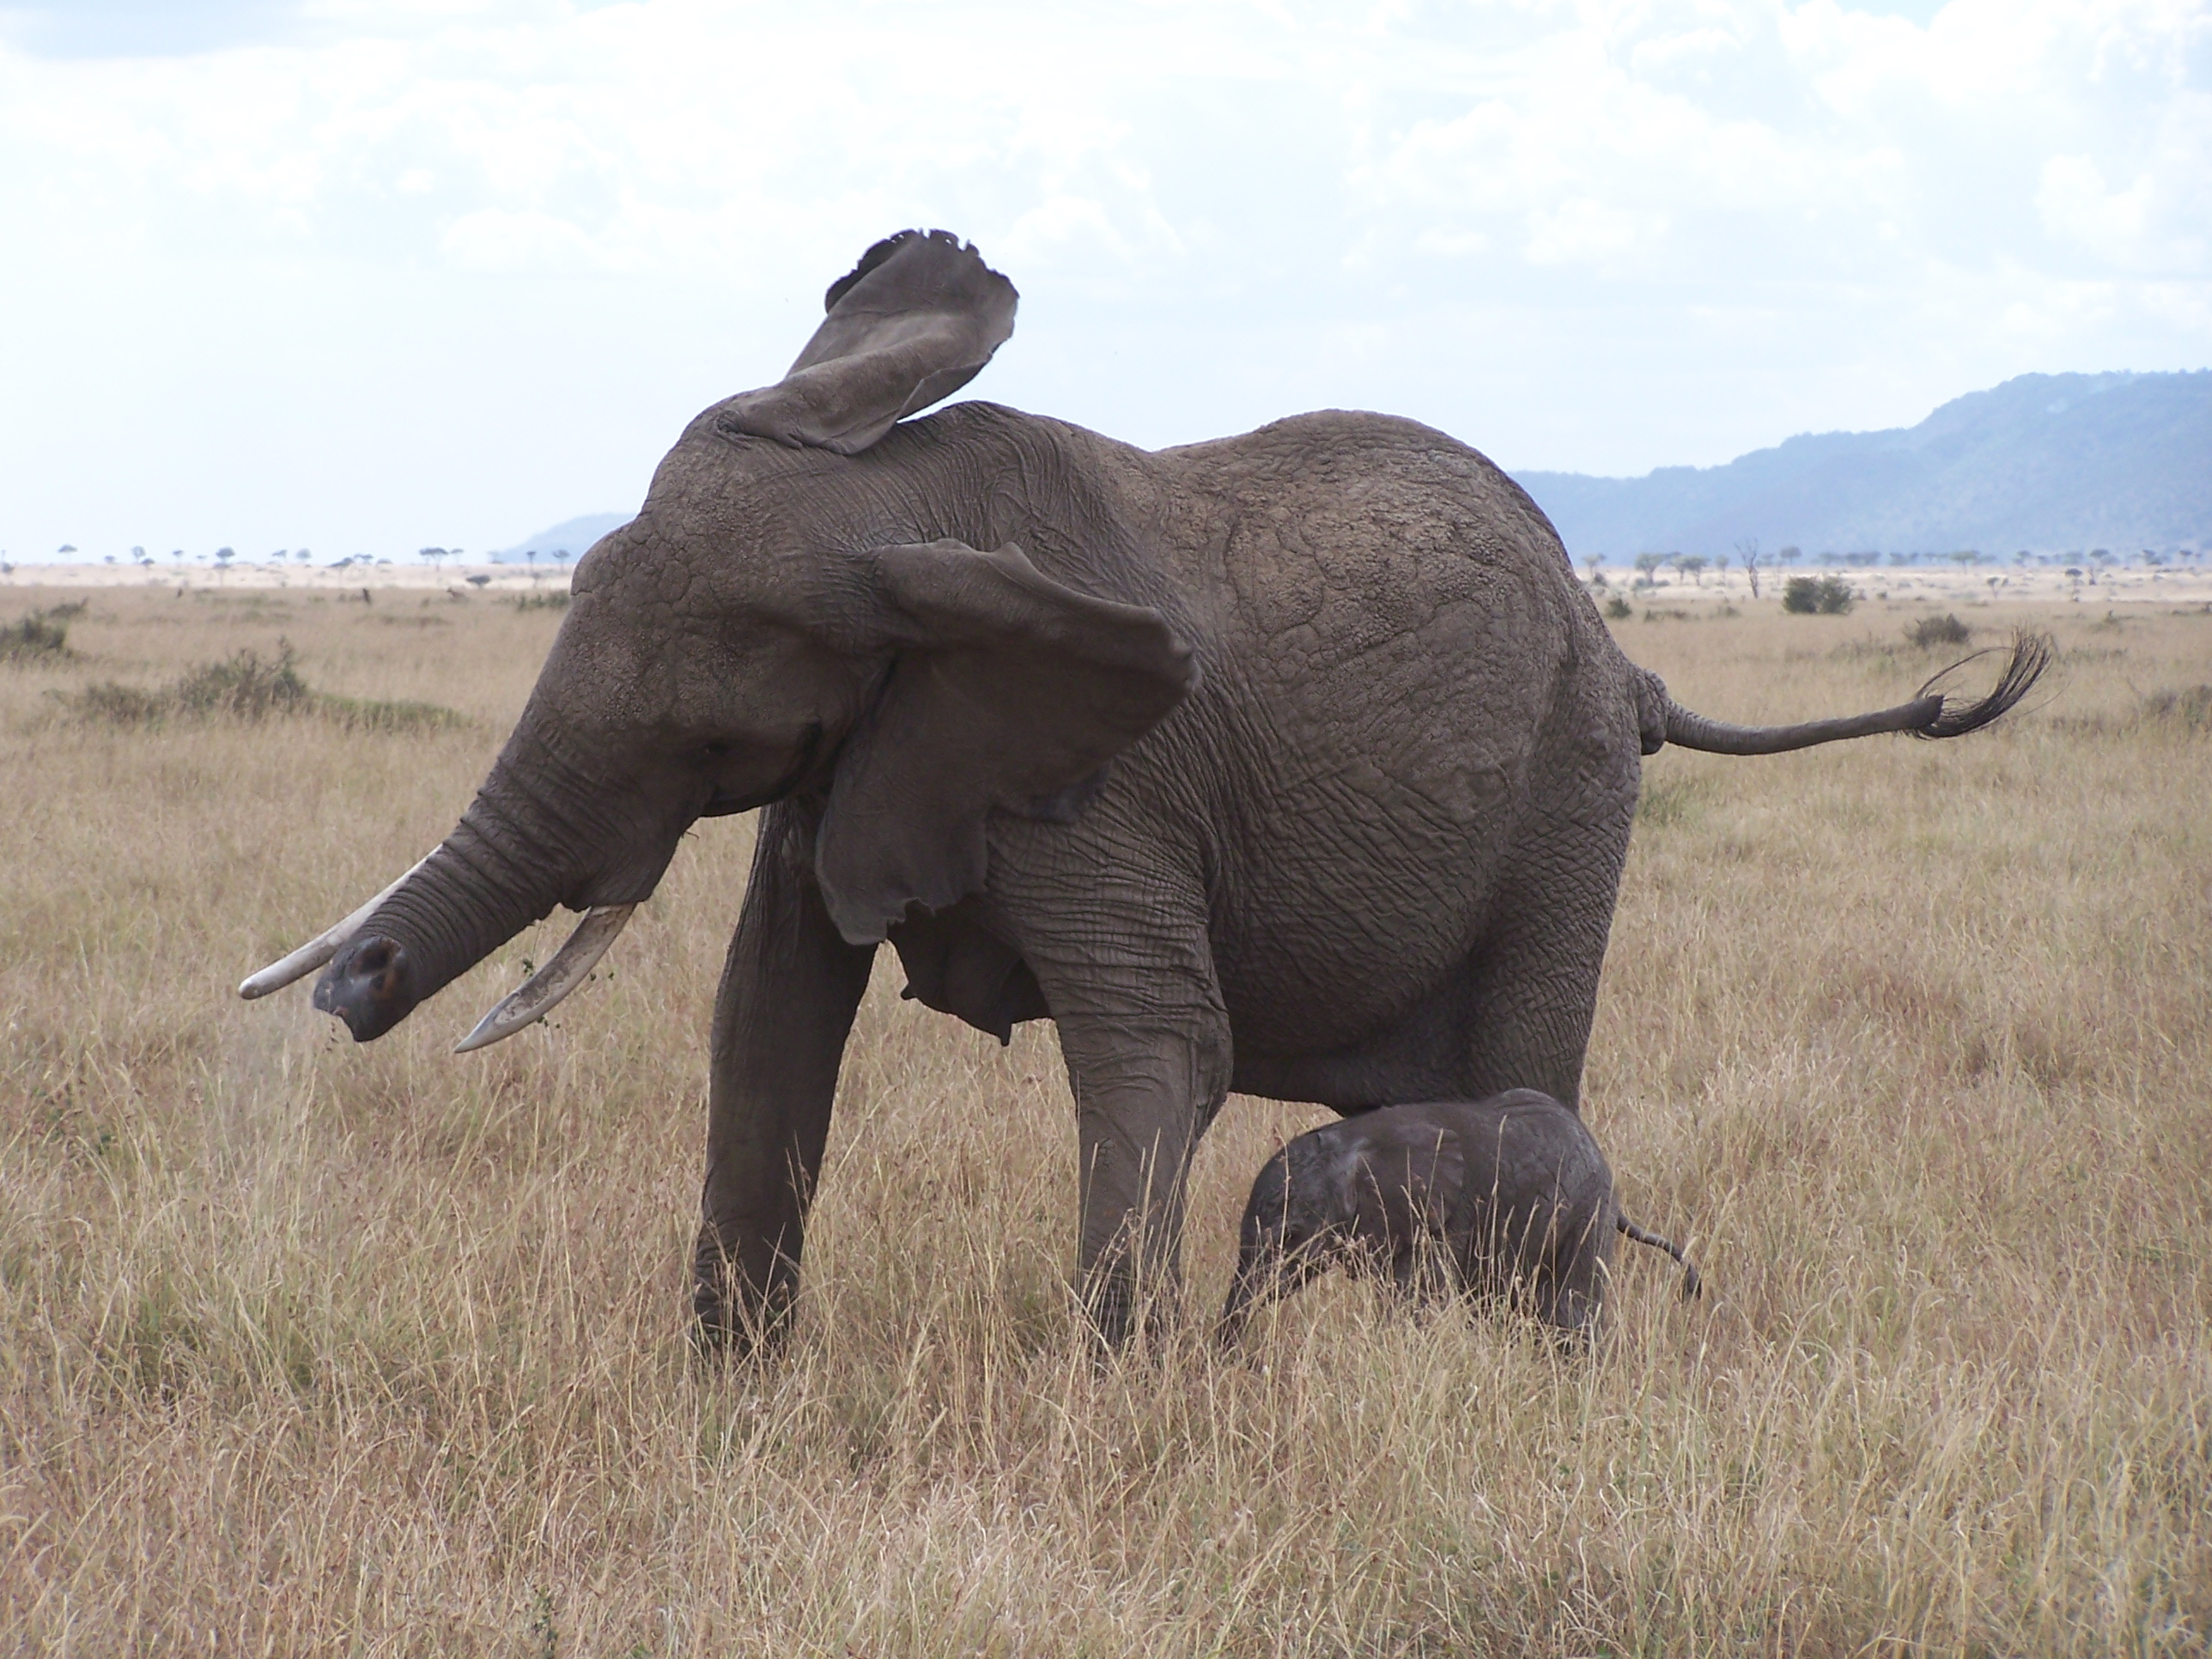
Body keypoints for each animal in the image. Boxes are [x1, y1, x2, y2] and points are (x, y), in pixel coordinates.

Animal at [1220, 1092, 1698, 1353]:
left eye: (1291, 1235)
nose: (1233, 1361)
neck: (1354, 1138)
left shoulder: (1448, 1216)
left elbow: (1416, 1300)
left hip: (1587, 1208)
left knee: (1570, 1306)